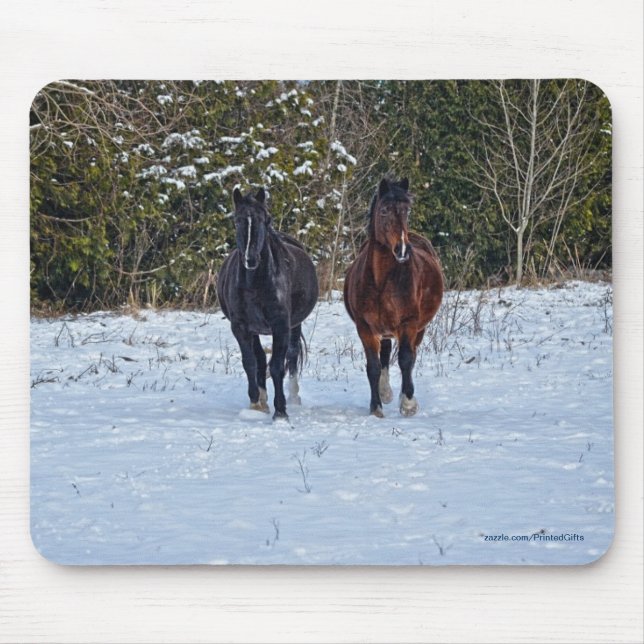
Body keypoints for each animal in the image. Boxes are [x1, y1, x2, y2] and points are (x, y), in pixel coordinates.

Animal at [216, 187, 318, 420]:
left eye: (265, 220)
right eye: (237, 220)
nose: (251, 259)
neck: (255, 284)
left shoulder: (280, 325)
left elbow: (278, 367)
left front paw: (281, 411)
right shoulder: (241, 327)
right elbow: (250, 363)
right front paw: (256, 403)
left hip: (294, 325)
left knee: (292, 356)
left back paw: (293, 397)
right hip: (255, 329)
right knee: (261, 360)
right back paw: (263, 400)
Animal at [343, 177, 444, 417]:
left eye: (407, 210)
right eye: (384, 211)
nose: (402, 249)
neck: (381, 281)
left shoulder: (409, 322)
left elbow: (406, 360)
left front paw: (408, 404)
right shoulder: (365, 326)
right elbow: (373, 366)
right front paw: (376, 406)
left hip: (419, 328)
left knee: (410, 355)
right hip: (384, 329)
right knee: (386, 353)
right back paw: (385, 391)